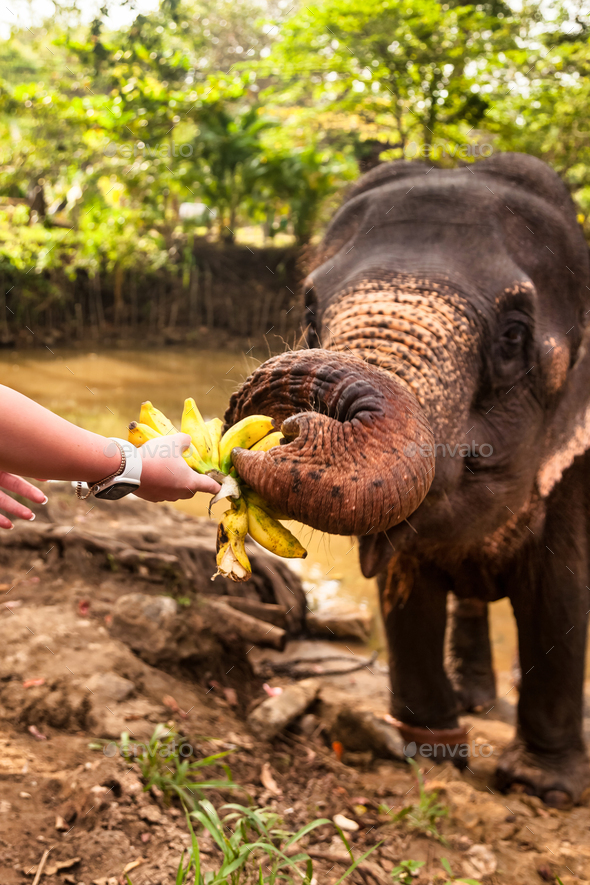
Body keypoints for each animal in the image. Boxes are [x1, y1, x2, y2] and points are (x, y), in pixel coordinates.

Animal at [225, 153, 590, 808]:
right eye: (310, 312)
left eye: (513, 336)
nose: (286, 429)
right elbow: (405, 585)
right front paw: (431, 749)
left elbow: (559, 593)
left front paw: (541, 789)